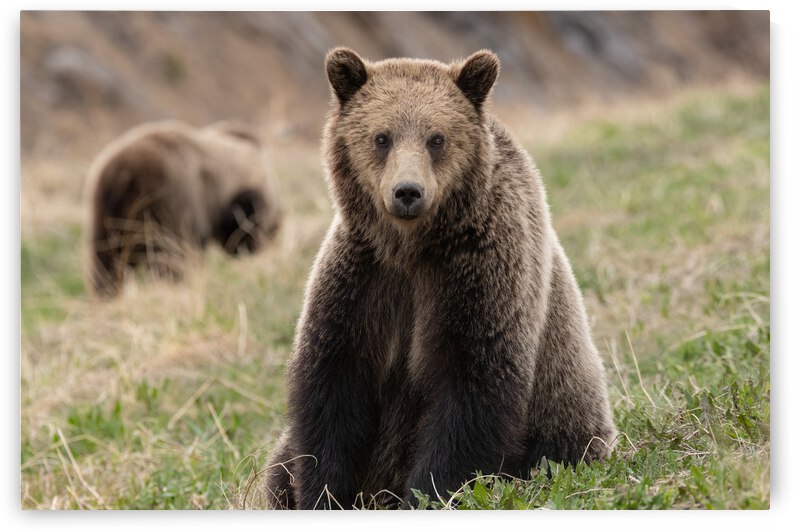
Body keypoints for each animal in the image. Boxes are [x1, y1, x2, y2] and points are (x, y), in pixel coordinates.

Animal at [84, 120, 281, 298]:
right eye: (268, 223)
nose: (270, 238)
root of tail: (124, 176)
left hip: (104, 213)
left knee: (105, 264)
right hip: (158, 204)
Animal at [263, 48, 616, 510]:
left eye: (437, 138)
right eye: (382, 137)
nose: (407, 192)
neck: (414, 248)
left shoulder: (480, 274)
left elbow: (470, 388)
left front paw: (427, 493)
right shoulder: (363, 278)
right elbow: (333, 385)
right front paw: (321, 493)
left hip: (565, 421)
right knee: (278, 463)